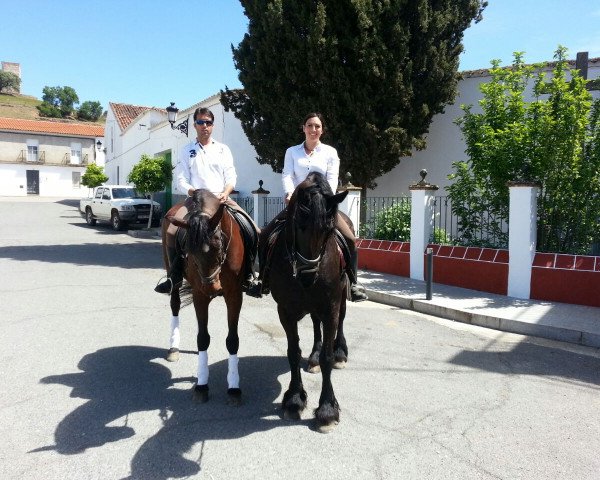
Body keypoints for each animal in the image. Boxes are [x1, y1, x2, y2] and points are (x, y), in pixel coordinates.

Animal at [159, 189, 248, 404]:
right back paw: (173, 348)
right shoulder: (199, 295)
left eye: (219, 245)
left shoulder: (234, 295)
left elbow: (232, 340)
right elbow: (202, 338)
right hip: (172, 273)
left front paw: (234, 388)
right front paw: (201, 385)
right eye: (190, 251)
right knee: (175, 304)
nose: (212, 287)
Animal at [264, 172, 350, 432]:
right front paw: (294, 399)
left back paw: (341, 352)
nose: (308, 276)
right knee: (314, 323)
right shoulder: (285, 311)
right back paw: (313, 356)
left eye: (329, 228)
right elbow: (293, 351)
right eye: (298, 224)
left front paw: (327, 409)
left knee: (342, 320)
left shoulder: (331, 307)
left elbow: (327, 358)